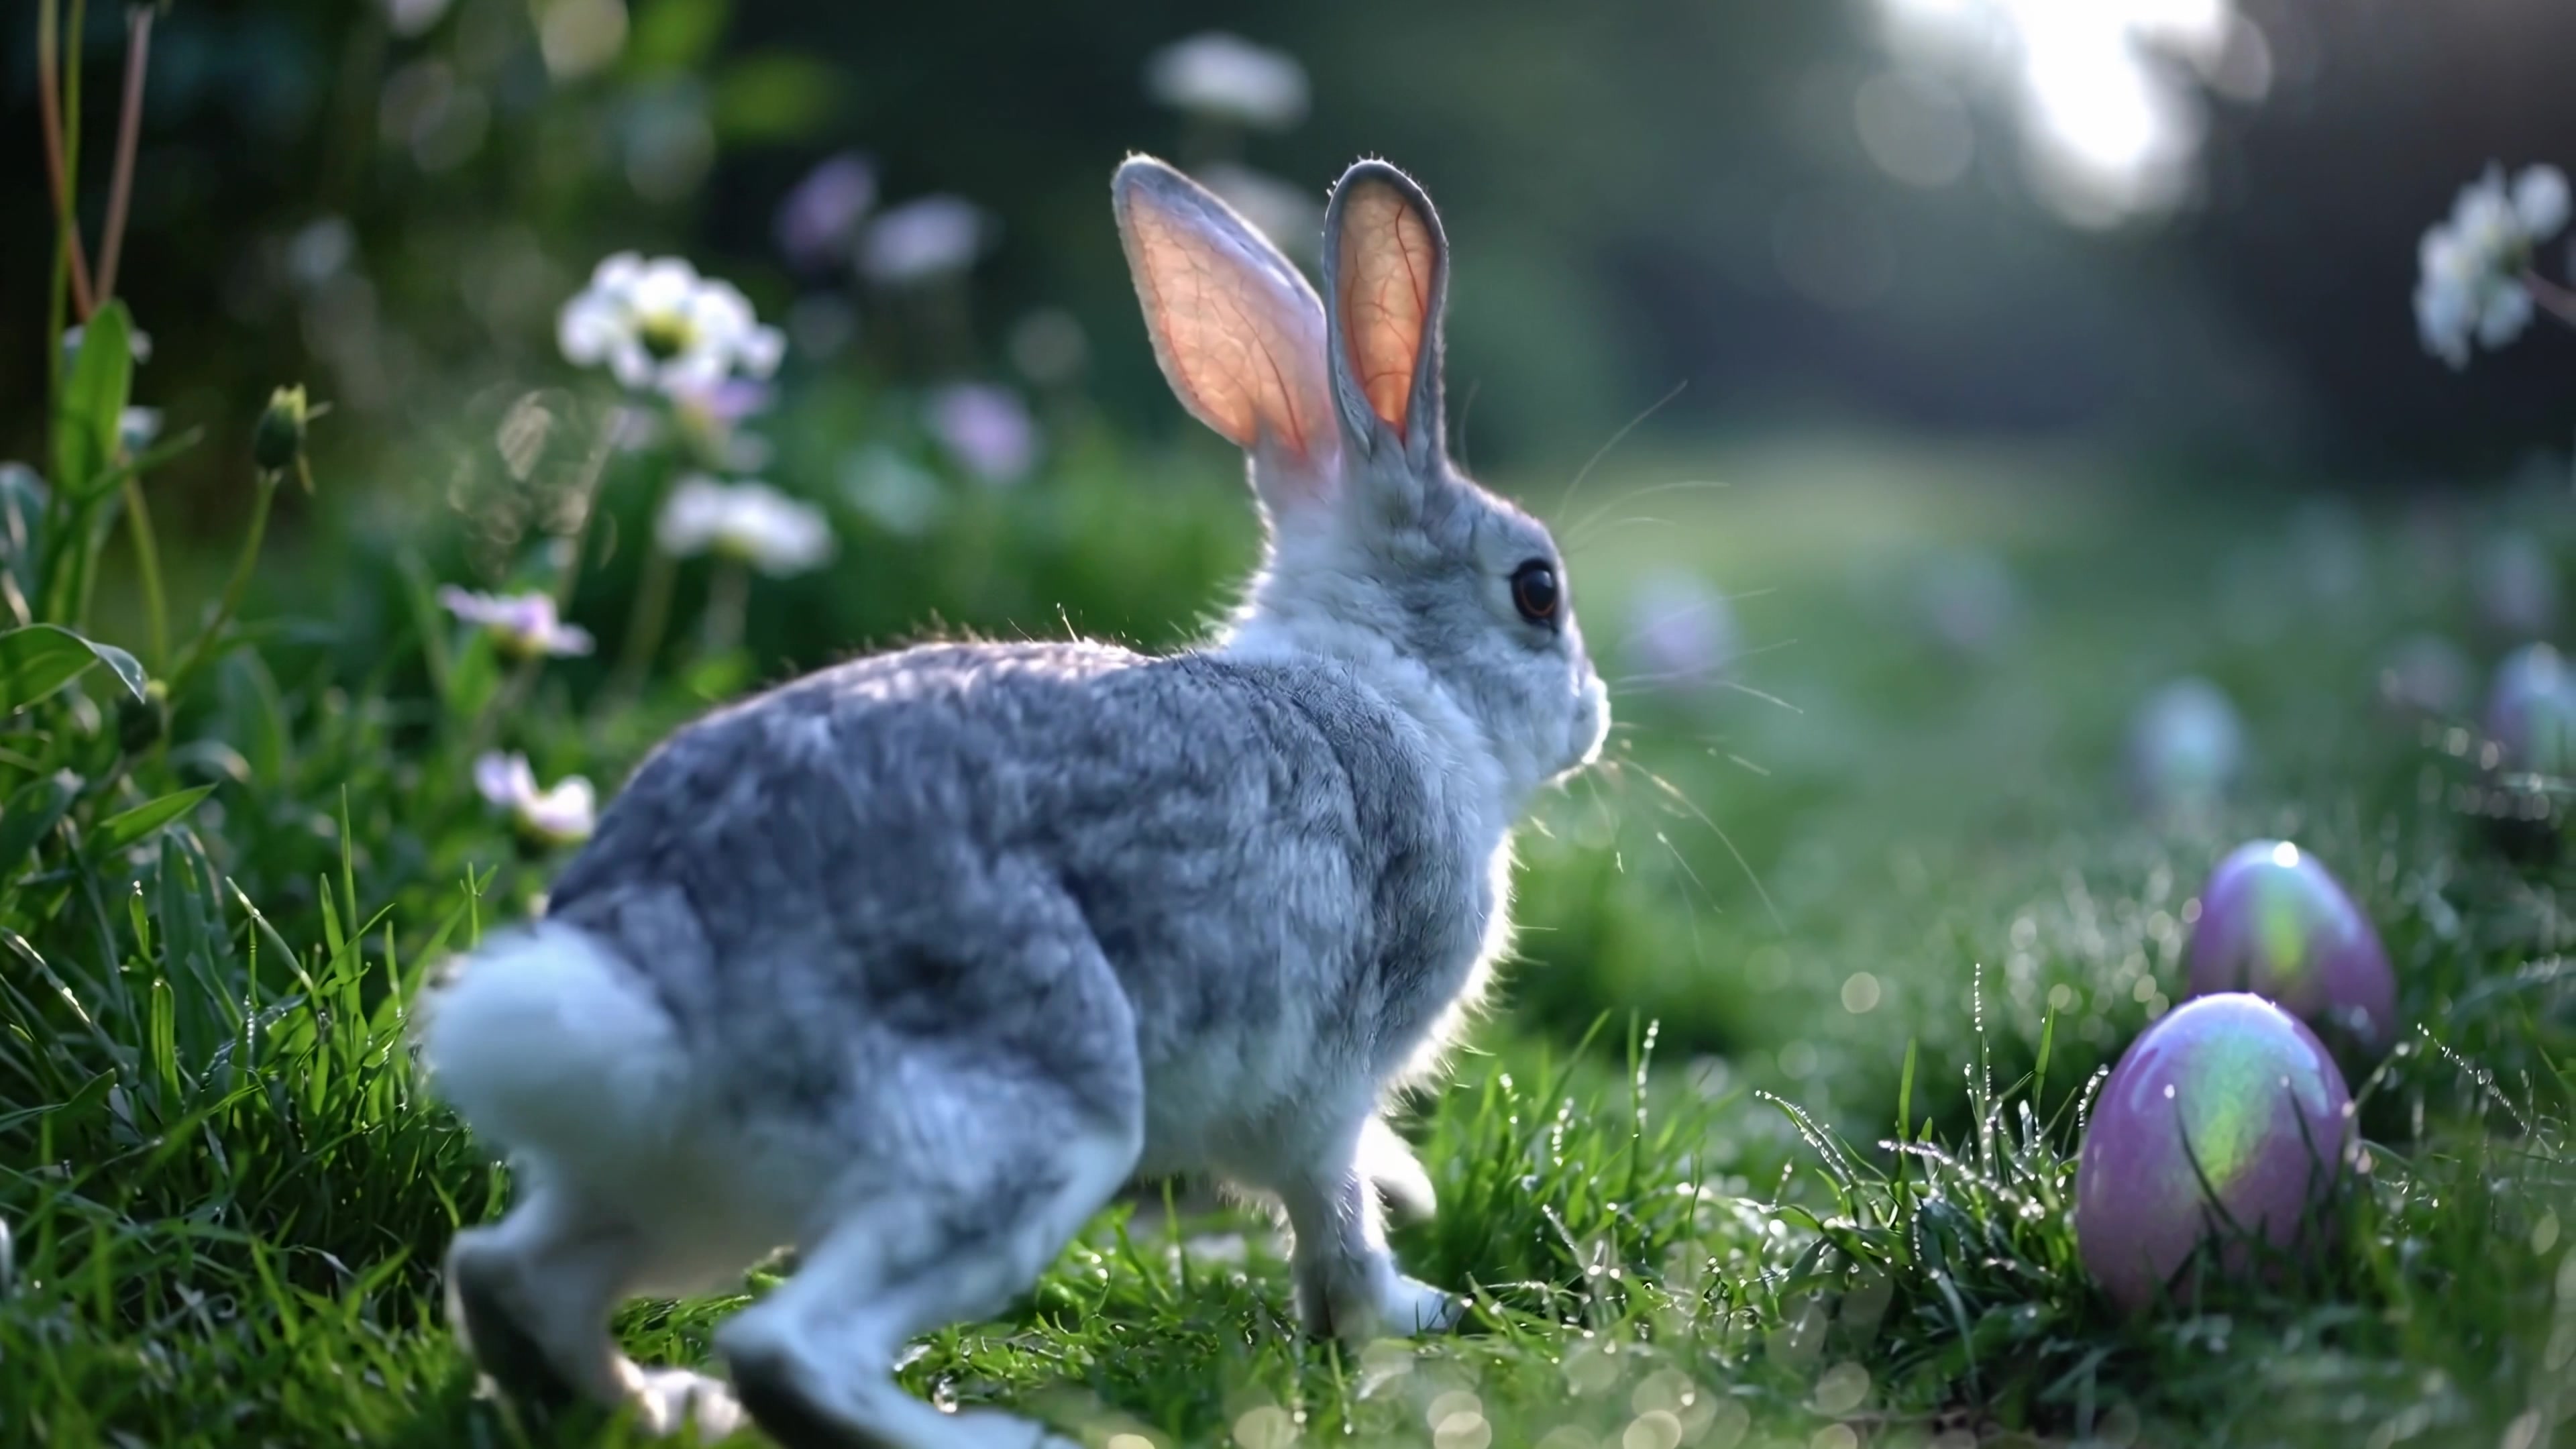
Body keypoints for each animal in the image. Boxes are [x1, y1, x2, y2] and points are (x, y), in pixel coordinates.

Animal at [418, 153, 1610, 1449]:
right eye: (1536, 591)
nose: (1594, 716)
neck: (1388, 676)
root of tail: (657, 980)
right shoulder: (1325, 1095)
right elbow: (1335, 1216)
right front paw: (1408, 1313)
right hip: (1034, 1127)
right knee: (787, 1348)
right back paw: (986, 1436)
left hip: (692, 1201)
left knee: (512, 1279)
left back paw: (650, 1403)